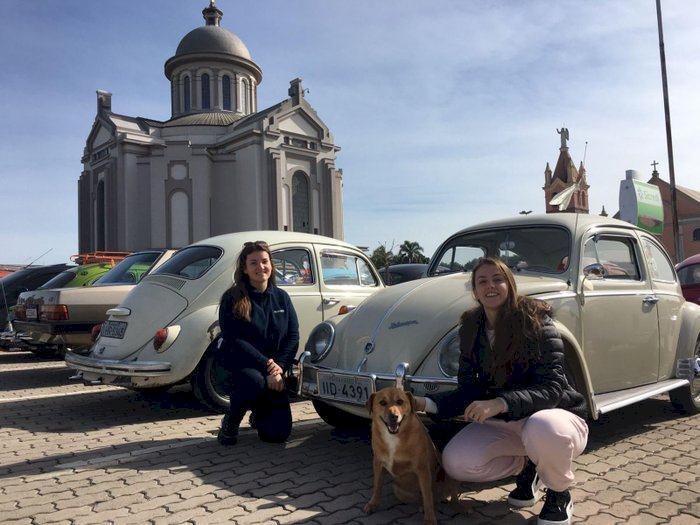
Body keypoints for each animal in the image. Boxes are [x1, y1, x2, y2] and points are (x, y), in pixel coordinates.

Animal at [364, 384, 456, 524]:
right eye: (382, 403)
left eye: (400, 401)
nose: (394, 416)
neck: (393, 438)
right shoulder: (378, 463)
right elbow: (377, 485)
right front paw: (373, 503)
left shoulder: (422, 469)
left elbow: (427, 496)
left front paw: (429, 518)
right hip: (397, 488)